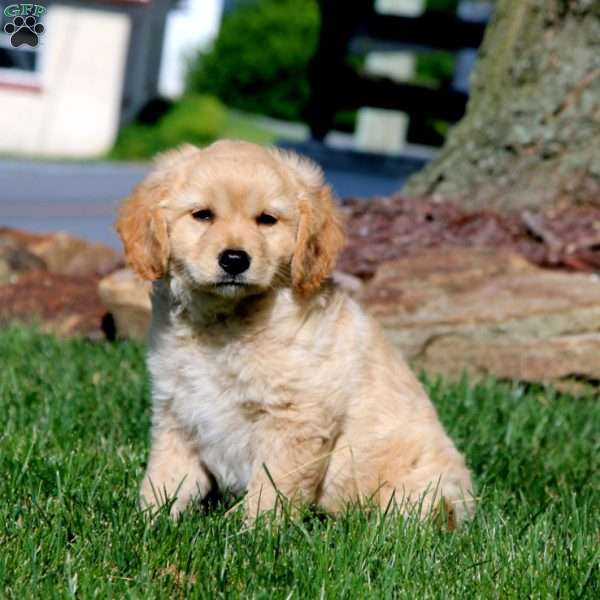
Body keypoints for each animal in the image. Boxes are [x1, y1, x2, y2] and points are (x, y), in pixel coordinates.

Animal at [116, 139, 474, 524]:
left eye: (267, 220)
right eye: (203, 215)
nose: (234, 260)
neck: (225, 323)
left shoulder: (294, 421)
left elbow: (271, 490)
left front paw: (249, 530)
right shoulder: (178, 411)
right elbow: (166, 477)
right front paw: (146, 521)